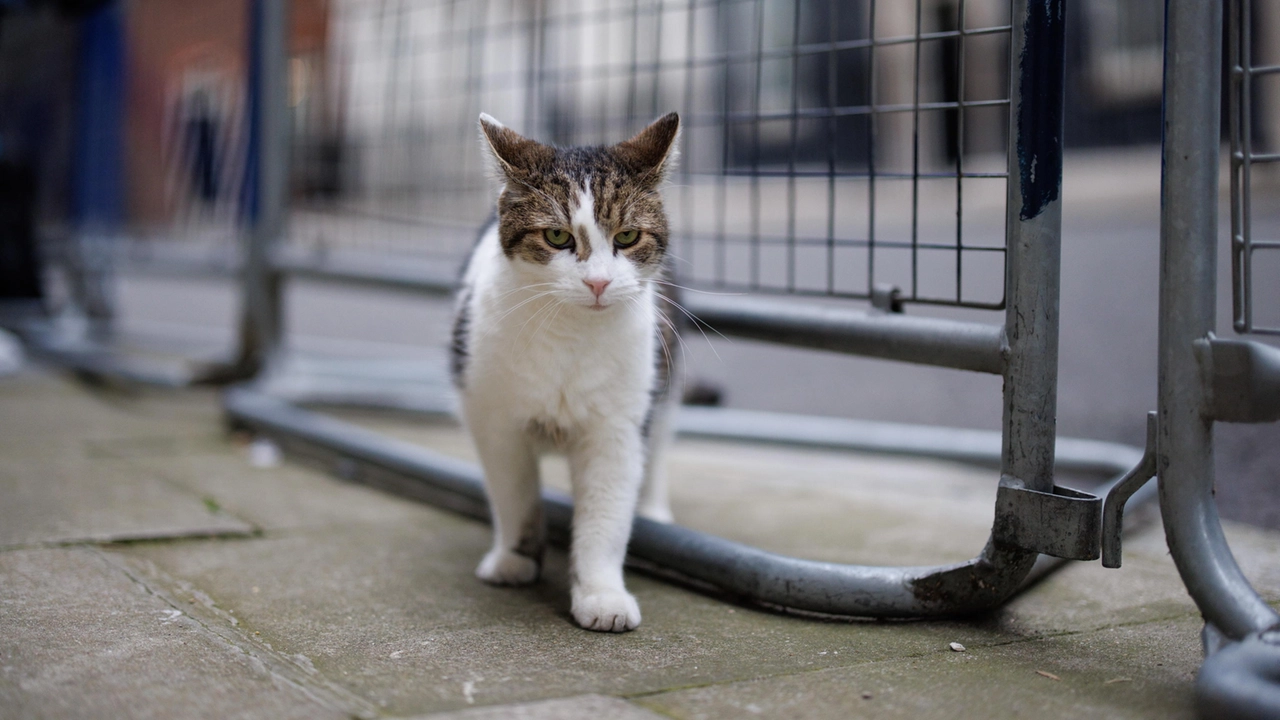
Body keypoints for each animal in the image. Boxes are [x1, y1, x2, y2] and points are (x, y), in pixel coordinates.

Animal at [455, 110, 686, 627]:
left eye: (627, 237)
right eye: (557, 236)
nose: (598, 282)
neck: (572, 333)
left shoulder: (617, 428)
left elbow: (606, 515)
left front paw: (601, 594)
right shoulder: (495, 420)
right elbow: (514, 496)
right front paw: (515, 559)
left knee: (662, 437)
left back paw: (656, 508)